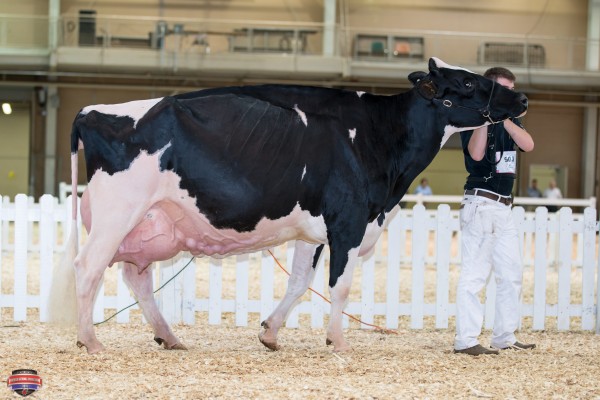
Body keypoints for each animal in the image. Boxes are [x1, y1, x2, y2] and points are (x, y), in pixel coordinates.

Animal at [49, 57, 528, 354]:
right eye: (468, 82)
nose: (521, 99)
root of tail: (93, 109)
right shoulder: (348, 223)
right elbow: (339, 286)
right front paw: (338, 341)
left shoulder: (313, 230)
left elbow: (299, 283)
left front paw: (270, 333)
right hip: (117, 212)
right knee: (88, 268)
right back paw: (91, 341)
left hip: (150, 226)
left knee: (137, 277)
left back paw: (169, 337)